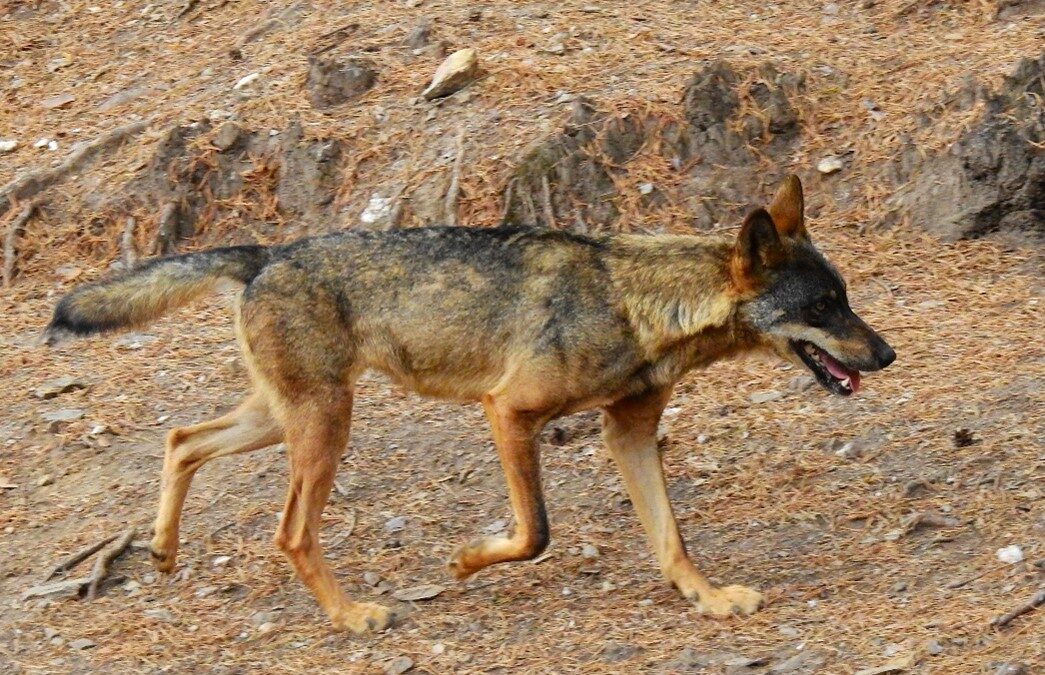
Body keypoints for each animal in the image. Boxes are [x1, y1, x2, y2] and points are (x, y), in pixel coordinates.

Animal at [47, 175, 890, 635]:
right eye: (824, 306)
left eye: (845, 298)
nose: (885, 354)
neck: (635, 302)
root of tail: (267, 253)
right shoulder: (507, 412)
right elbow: (535, 532)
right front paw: (463, 559)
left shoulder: (628, 432)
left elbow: (670, 539)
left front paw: (708, 598)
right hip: (324, 427)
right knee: (287, 531)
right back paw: (352, 615)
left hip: (281, 419)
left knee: (179, 437)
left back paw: (162, 550)